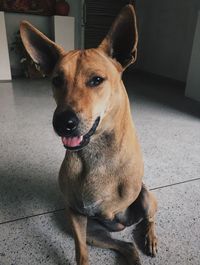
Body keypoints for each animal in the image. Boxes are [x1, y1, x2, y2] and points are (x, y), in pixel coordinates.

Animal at [19, 4, 158, 264]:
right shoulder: (74, 214)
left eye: (96, 80)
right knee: (125, 244)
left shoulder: (127, 195)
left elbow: (117, 200)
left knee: (149, 218)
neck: (94, 153)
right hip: (93, 233)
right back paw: (132, 252)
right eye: (56, 80)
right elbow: (80, 251)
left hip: (146, 198)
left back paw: (150, 238)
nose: (63, 122)